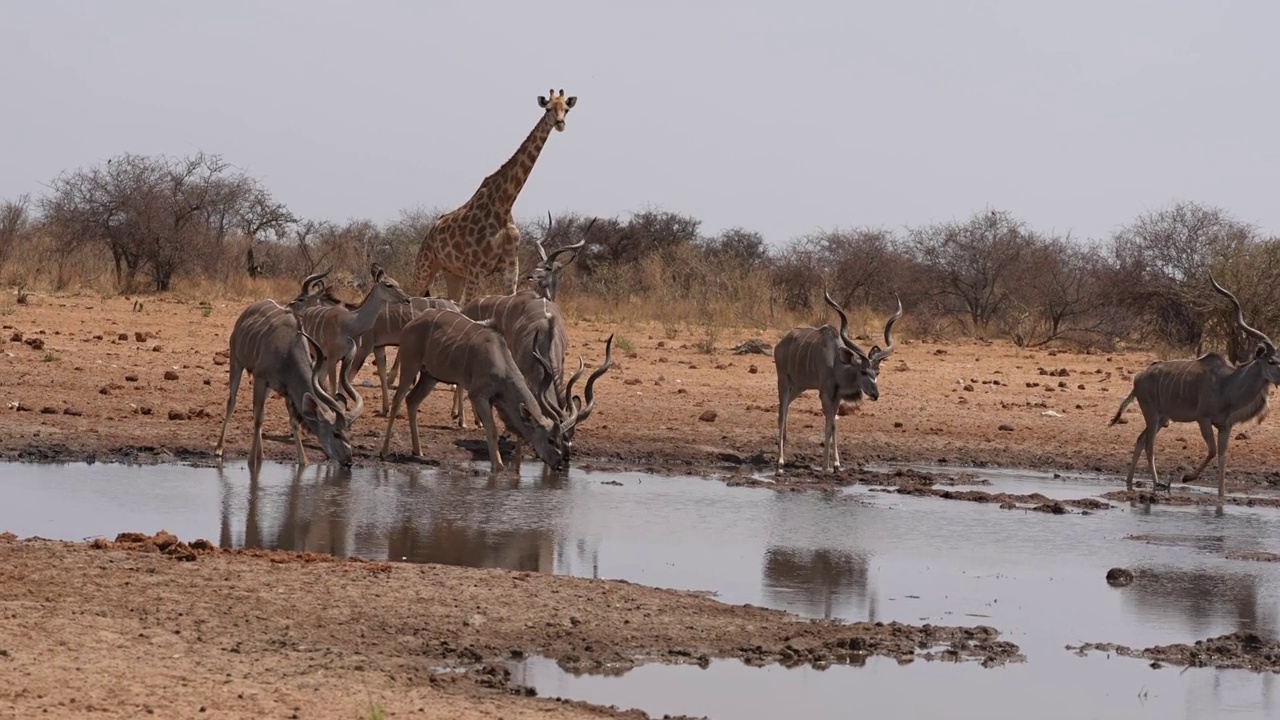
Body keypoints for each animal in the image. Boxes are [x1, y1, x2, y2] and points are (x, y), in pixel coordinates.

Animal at [212, 297, 358, 466]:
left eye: (348, 433)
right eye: (335, 433)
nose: (348, 461)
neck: (288, 350)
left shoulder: (288, 390)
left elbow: (293, 422)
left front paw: (303, 461)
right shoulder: (261, 379)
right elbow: (258, 419)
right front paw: (251, 460)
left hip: (267, 386)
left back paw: (261, 453)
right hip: (236, 361)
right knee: (232, 402)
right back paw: (219, 449)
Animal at [373, 307, 565, 471]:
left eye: (560, 439)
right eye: (550, 439)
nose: (560, 464)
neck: (501, 361)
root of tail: (411, 324)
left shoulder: (494, 400)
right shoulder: (478, 395)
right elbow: (492, 430)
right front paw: (498, 466)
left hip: (430, 376)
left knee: (412, 400)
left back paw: (418, 451)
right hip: (411, 364)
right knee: (398, 400)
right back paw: (384, 451)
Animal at [412, 88, 578, 301]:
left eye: (566, 109)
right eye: (548, 108)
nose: (560, 123)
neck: (504, 205)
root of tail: (430, 232)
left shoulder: (511, 269)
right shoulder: (476, 268)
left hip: (453, 273)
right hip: (425, 265)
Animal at [768, 292, 901, 471]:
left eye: (877, 372)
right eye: (863, 371)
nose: (875, 394)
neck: (836, 363)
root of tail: (780, 344)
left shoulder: (837, 397)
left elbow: (834, 424)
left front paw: (837, 463)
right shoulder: (825, 393)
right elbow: (829, 424)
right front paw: (826, 465)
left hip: (799, 386)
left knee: (787, 407)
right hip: (783, 380)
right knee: (781, 412)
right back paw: (780, 460)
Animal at [1111, 271, 1280, 497]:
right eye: (1271, 361)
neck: (1228, 384)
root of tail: (1138, 378)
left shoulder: (1225, 426)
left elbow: (1222, 457)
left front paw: (1222, 495)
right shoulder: (1203, 419)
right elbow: (1212, 451)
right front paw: (1187, 477)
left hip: (1162, 418)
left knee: (1140, 440)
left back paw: (1130, 481)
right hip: (1152, 415)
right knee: (1149, 446)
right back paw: (1157, 484)